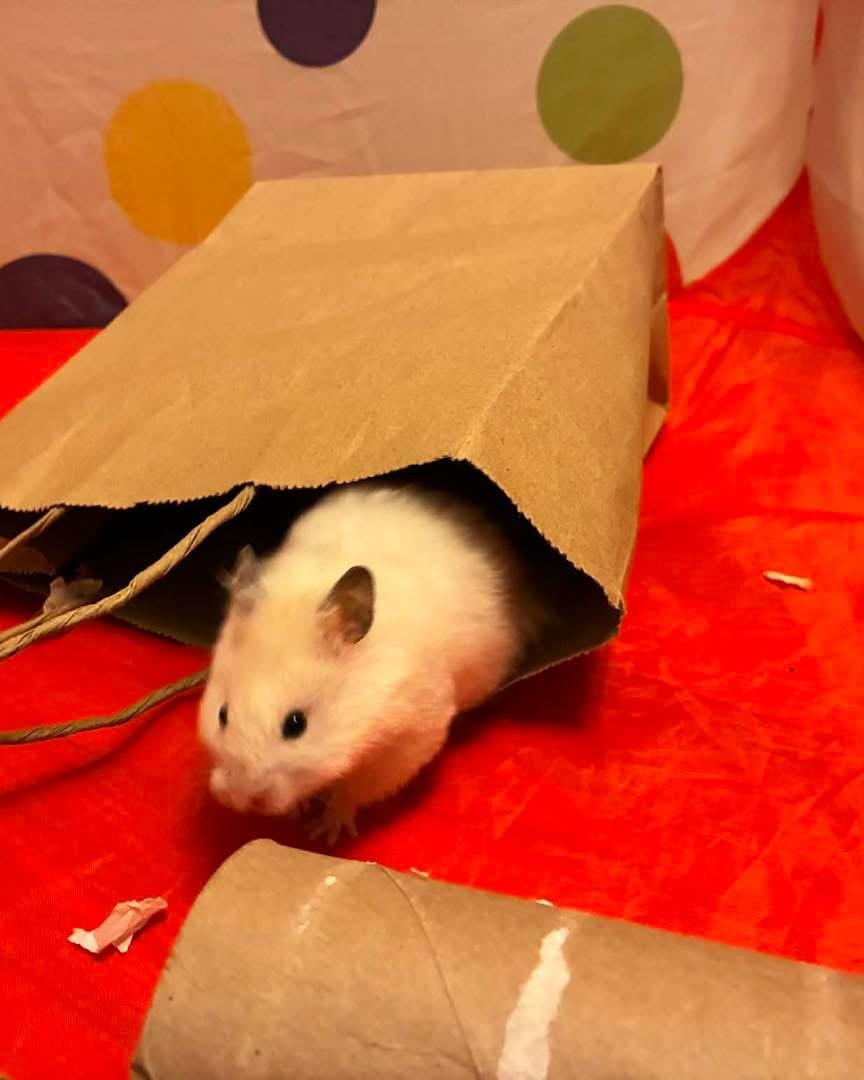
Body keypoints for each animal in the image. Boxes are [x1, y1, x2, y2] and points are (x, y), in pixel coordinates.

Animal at [198, 481, 545, 845]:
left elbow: (355, 790)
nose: (240, 798)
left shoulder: (407, 742)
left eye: (296, 724)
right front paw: (297, 811)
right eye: (222, 715)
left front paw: (323, 833)